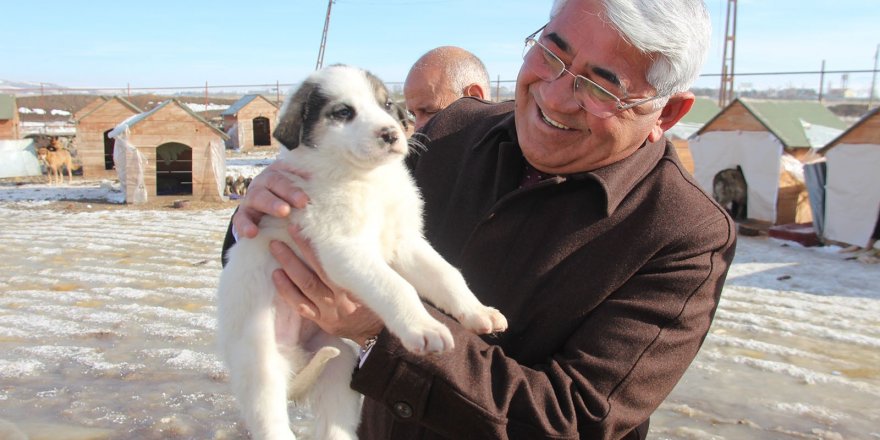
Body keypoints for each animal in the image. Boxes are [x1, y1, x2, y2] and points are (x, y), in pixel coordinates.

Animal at [215, 65, 508, 440]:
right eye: (343, 113)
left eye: (386, 104)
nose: (391, 134)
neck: (367, 179)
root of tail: (294, 362)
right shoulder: (344, 247)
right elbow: (397, 287)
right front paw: (424, 329)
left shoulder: (405, 242)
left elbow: (447, 275)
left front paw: (479, 313)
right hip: (261, 366)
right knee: (271, 422)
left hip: (338, 362)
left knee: (334, 423)